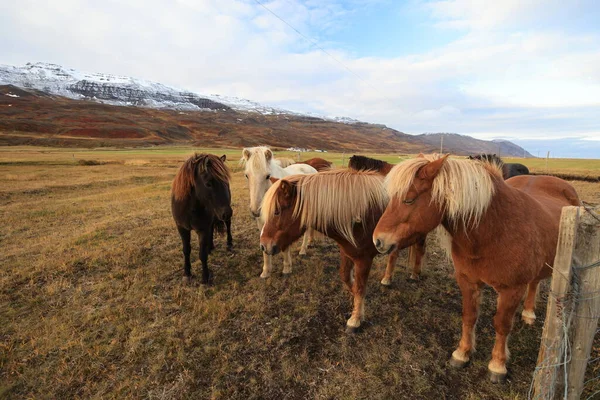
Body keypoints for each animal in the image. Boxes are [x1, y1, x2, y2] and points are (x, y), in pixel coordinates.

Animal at [171, 153, 234, 284]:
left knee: (228, 225)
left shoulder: (202, 230)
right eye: (208, 183)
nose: (226, 213)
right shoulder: (182, 228)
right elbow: (186, 250)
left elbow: (202, 254)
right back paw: (210, 246)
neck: (190, 208)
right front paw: (187, 273)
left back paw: (229, 243)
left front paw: (205, 277)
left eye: (226, 180)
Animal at [241, 147, 318, 278]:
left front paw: (287, 268)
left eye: (268, 176)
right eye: (247, 175)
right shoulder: (262, 223)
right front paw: (266, 271)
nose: (255, 211)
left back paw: (303, 249)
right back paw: (310, 242)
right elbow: (264, 243)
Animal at [260, 169, 386, 332]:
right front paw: (358, 304)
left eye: (276, 212)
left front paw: (355, 319)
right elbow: (346, 277)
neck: (361, 215)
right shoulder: (347, 251)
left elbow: (359, 287)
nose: (263, 245)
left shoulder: (364, 259)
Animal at [372, 153, 580, 382]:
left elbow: (502, 325)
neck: (494, 231)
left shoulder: (512, 290)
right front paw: (462, 353)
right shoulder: (467, 281)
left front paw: (497, 365)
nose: (378, 240)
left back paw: (528, 313)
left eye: (409, 199)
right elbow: (469, 316)